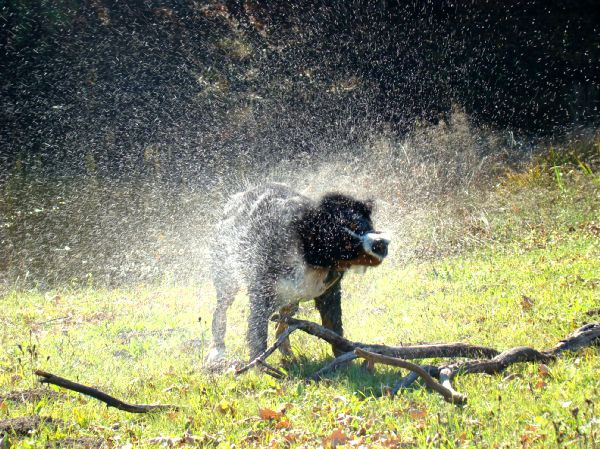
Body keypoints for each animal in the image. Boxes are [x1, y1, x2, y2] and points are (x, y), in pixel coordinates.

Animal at [209, 182, 392, 360]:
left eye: (363, 226)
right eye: (344, 242)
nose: (380, 243)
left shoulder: (329, 292)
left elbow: (334, 328)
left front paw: (345, 360)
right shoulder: (262, 293)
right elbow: (258, 335)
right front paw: (258, 365)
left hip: (290, 300)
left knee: (282, 324)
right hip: (227, 277)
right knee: (220, 313)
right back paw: (217, 352)